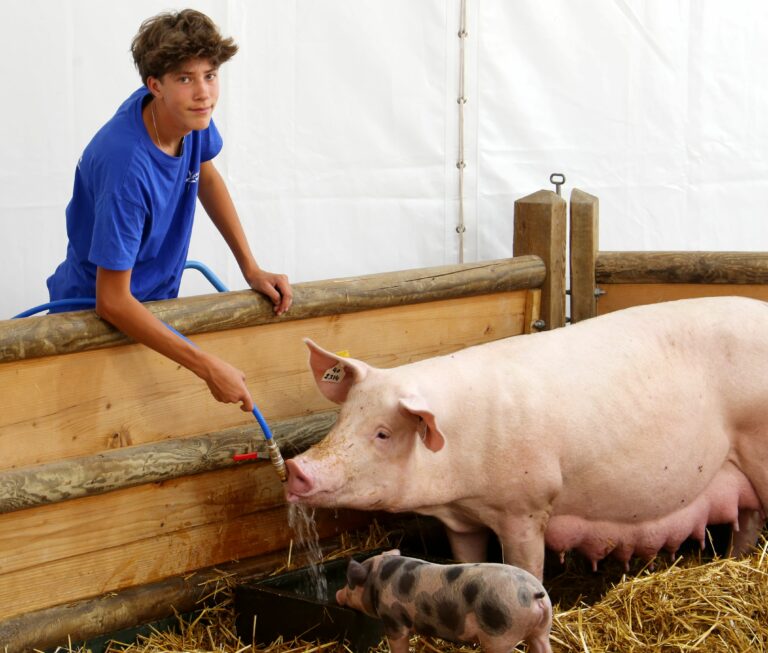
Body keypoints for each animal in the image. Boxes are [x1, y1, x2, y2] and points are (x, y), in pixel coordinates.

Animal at [285, 296, 768, 579]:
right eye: (342, 418)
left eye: (383, 433)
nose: (294, 467)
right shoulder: (461, 520)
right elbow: (468, 560)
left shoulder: (526, 506)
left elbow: (527, 569)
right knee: (747, 520)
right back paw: (737, 561)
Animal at [335, 549, 553, 653]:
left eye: (350, 585)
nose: (337, 594)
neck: (378, 579)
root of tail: (534, 593)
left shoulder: (393, 620)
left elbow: (398, 644)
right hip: (543, 629)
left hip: (501, 636)